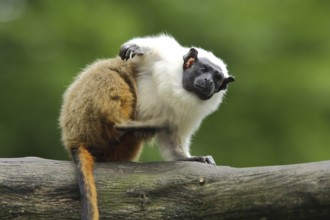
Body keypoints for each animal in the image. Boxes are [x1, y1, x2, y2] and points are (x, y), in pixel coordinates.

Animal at [59, 33, 235, 219]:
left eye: (217, 78)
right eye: (203, 69)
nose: (208, 81)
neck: (181, 90)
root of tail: (74, 140)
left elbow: (172, 139)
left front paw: (188, 158)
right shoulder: (163, 59)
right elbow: (145, 53)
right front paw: (137, 47)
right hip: (84, 120)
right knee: (111, 72)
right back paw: (123, 124)